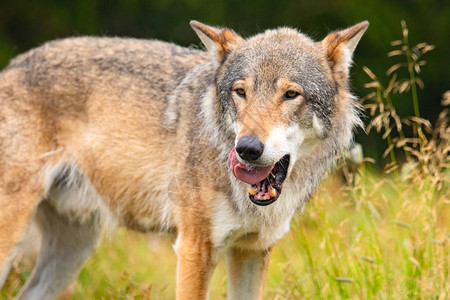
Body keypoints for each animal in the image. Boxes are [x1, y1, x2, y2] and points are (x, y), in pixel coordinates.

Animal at [0, 19, 366, 298]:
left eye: (291, 94)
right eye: (241, 92)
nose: (247, 149)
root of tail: (11, 66)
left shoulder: (252, 251)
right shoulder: (194, 249)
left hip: (74, 249)